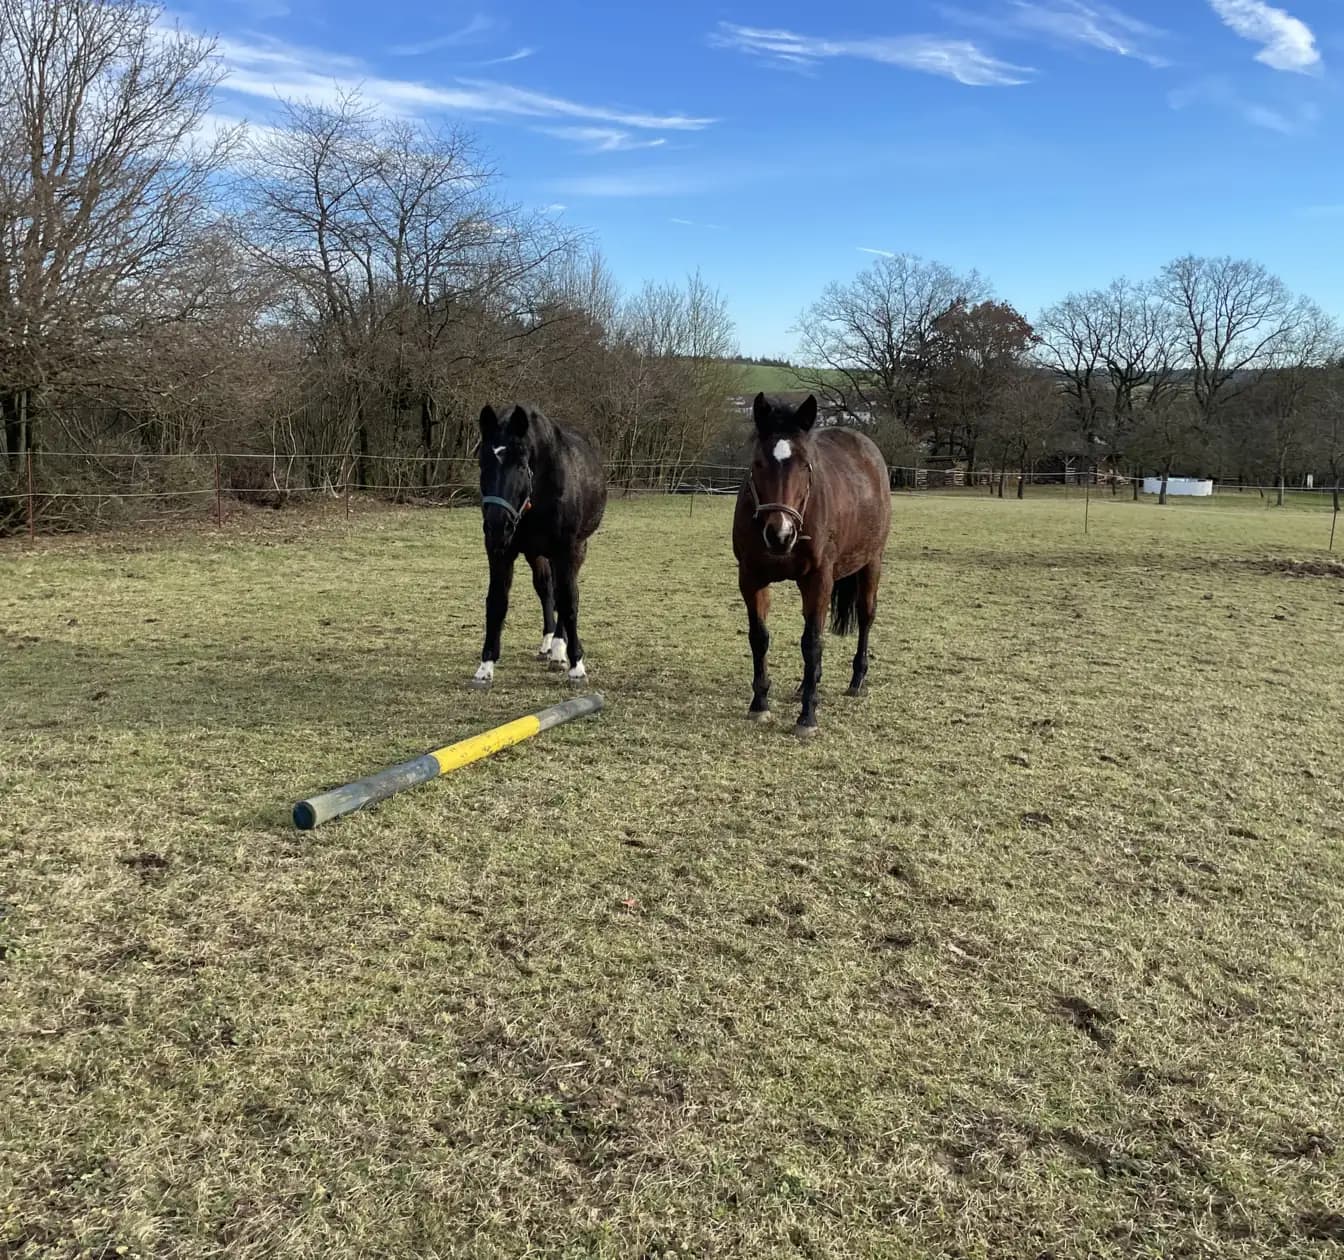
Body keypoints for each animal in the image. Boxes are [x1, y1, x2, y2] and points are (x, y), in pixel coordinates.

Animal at [471, 402, 607, 687]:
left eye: (521, 466)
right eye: (482, 463)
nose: (497, 526)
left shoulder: (566, 551)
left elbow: (568, 601)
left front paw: (576, 665)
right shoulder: (500, 552)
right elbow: (497, 602)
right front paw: (485, 667)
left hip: (575, 550)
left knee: (565, 593)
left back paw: (558, 649)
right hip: (537, 554)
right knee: (546, 589)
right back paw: (548, 644)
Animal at [733, 392, 892, 736]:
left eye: (806, 465)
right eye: (758, 463)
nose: (780, 534)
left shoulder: (818, 580)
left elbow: (811, 644)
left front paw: (807, 716)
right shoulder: (751, 577)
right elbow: (759, 637)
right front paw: (760, 704)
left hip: (872, 562)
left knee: (865, 616)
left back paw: (857, 680)